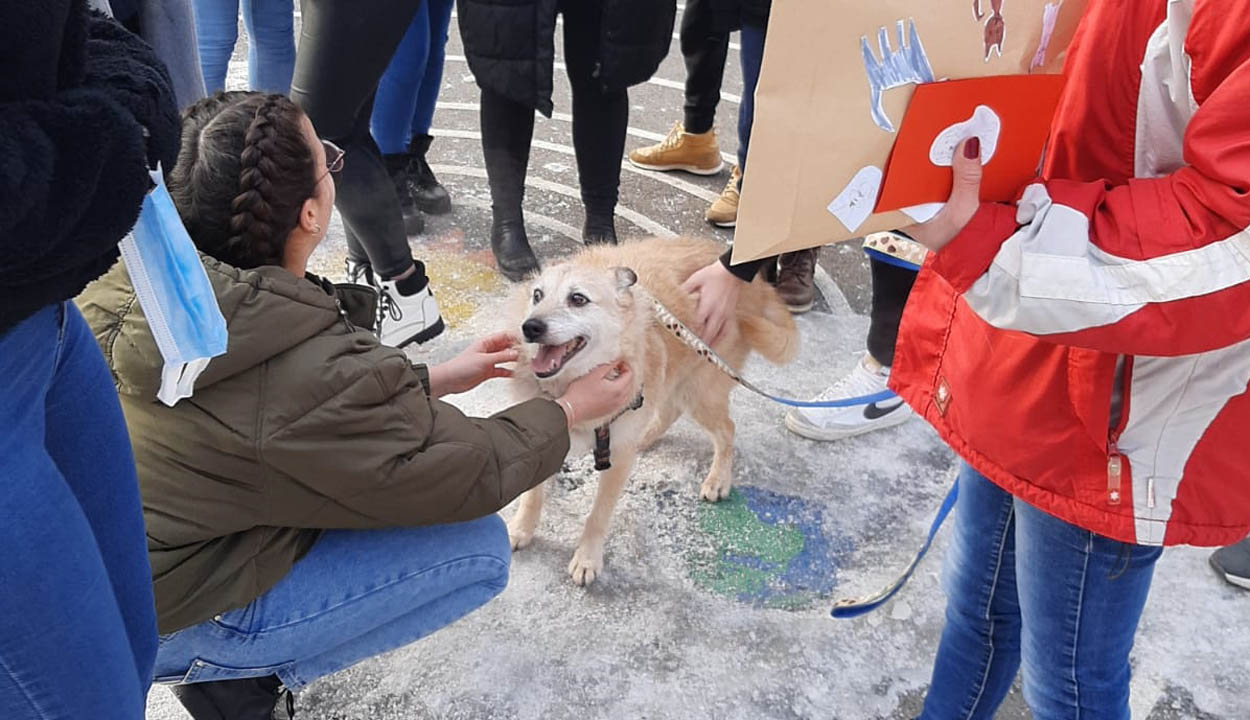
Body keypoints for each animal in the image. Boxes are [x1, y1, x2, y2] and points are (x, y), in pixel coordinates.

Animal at [507, 236, 800, 585]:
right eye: (537, 295)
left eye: (578, 299)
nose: (530, 327)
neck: (569, 387)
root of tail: (757, 287)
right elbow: (533, 495)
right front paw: (521, 529)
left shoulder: (617, 458)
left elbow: (598, 514)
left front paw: (587, 558)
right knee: (668, 411)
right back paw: (646, 437)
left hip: (699, 390)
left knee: (726, 429)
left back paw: (718, 478)